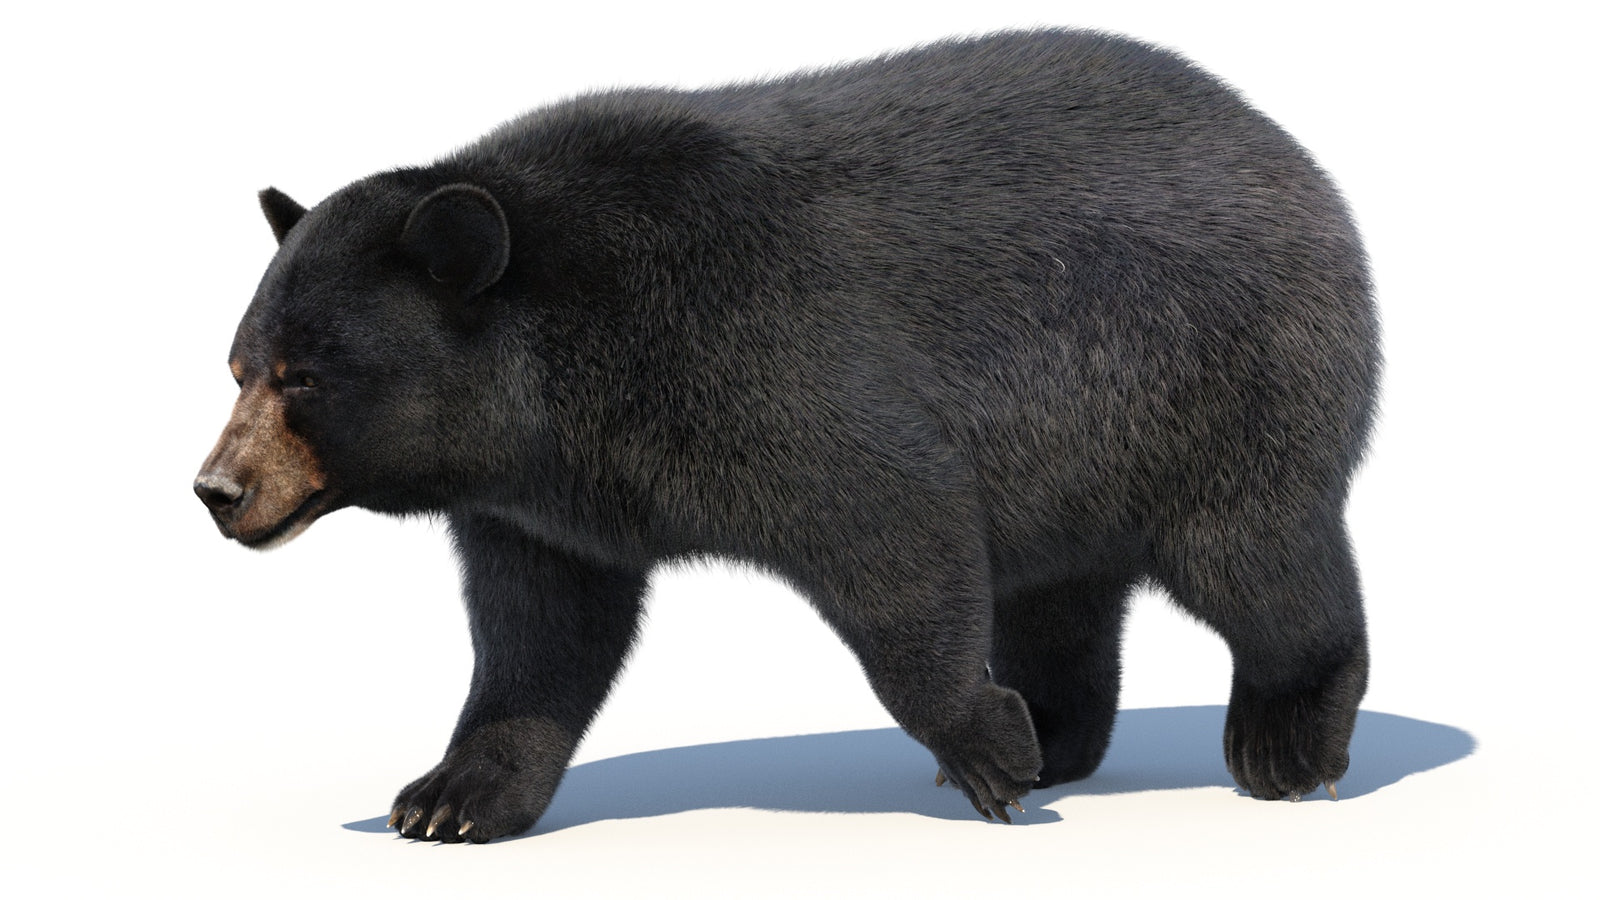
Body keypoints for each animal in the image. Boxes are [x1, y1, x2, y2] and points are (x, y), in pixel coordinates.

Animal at [195, 28, 1379, 843]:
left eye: (308, 377)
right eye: (241, 366)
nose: (217, 490)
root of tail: (1294, 159)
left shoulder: (759, 358)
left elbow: (895, 524)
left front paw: (981, 747)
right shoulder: (543, 501)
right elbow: (539, 636)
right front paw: (449, 796)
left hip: (1207, 383)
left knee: (1257, 559)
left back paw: (1286, 740)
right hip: (1079, 455)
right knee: (1062, 591)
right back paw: (1053, 729)